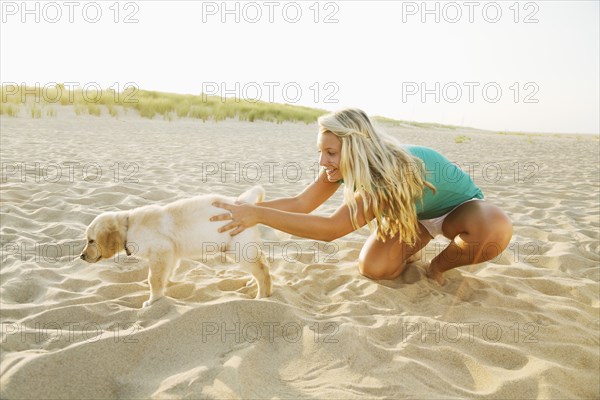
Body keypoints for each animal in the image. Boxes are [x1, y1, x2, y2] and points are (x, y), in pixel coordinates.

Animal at [80, 186, 272, 308]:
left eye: (91, 241)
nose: (81, 256)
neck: (129, 226)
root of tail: (243, 201)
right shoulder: (170, 253)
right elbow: (166, 272)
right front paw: (167, 285)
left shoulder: (161, 250)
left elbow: (154, 278)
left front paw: (153, 300)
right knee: (262, 263)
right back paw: (251, 282)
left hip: (238, 247)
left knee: (262, 270)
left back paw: (262, 295)